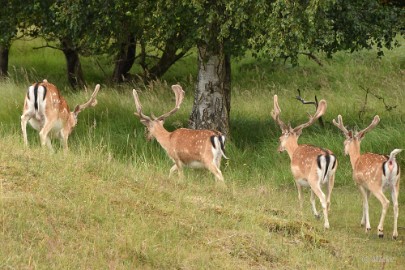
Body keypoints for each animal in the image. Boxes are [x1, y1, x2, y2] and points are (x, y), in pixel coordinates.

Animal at [272, 95, 338, 228]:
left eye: (280, 138)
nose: (279, 149)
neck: (293, 152)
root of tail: (327, 155)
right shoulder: (310, 183)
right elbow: (311, 199)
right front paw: (316, 215)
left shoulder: (297, 178)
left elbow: (300, 197)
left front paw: (301, 213)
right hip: (331, 178)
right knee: (328, 199)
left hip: (314, 178)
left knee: (323, 198)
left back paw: (326, 225)